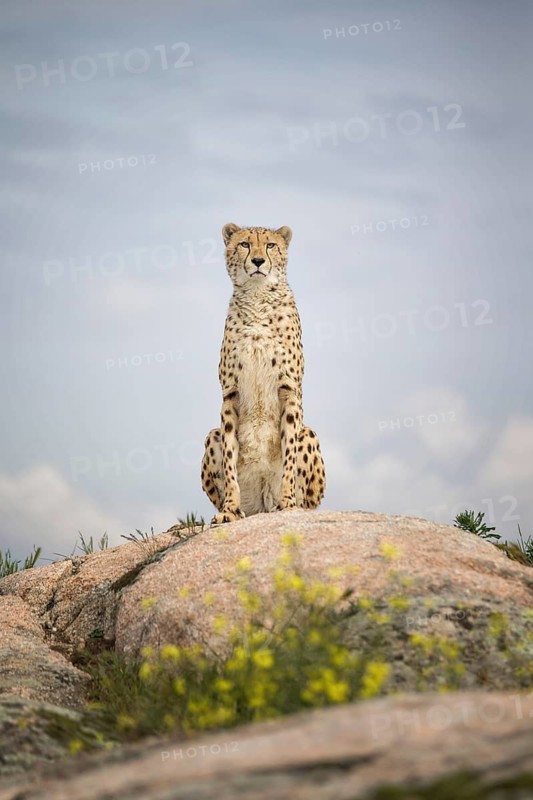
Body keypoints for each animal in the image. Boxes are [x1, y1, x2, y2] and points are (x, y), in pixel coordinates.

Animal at [201, 223, 326, 525]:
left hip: (310, 435)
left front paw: (288, 502)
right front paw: (230, 509)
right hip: (212, 436)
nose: (258, 261)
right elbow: (229, 458)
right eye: (245, 244)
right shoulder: (230, 394)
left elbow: (290, 452)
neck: (257, 299)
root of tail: (261, 506)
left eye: (270, 245)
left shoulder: (289, 390)